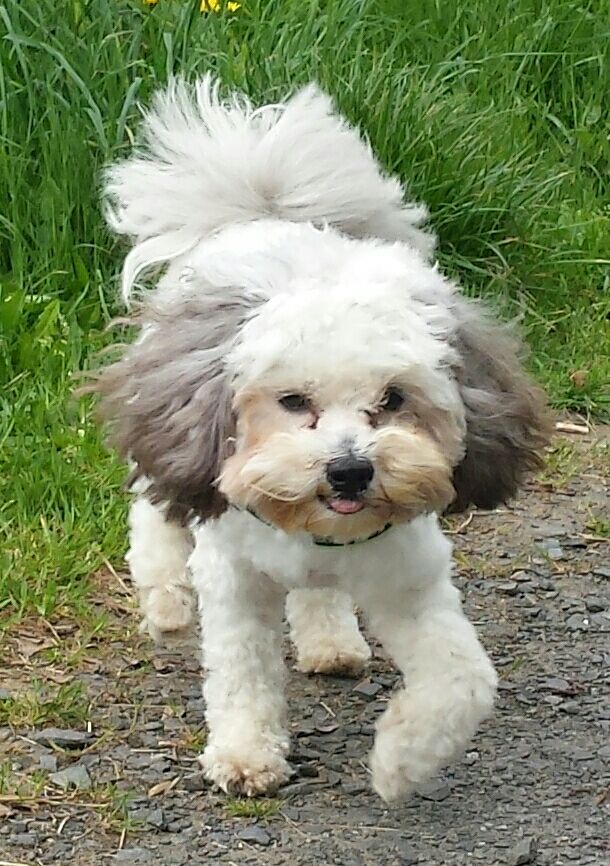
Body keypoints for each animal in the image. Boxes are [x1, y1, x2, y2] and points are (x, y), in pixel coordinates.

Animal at [92, 77, 550, 802]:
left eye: (394, 399)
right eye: (292, 401)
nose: (349, 471)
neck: (316, 532)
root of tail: (261, 213)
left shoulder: (412, 582)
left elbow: (464, 680)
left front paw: (401, 762)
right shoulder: (233, 580)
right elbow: (242, 672)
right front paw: (245, 755)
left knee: (317, 596)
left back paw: (330, 640)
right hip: (170, 420)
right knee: (154, 505)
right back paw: (165, 597)